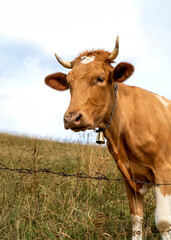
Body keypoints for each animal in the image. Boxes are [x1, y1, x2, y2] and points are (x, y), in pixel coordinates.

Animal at [44, 36, 171, 240]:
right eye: (69, 83)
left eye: (100, 78)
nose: (71, 118)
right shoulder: (128, 175)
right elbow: (136, 218)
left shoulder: (163, 169)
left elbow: (163, 222)